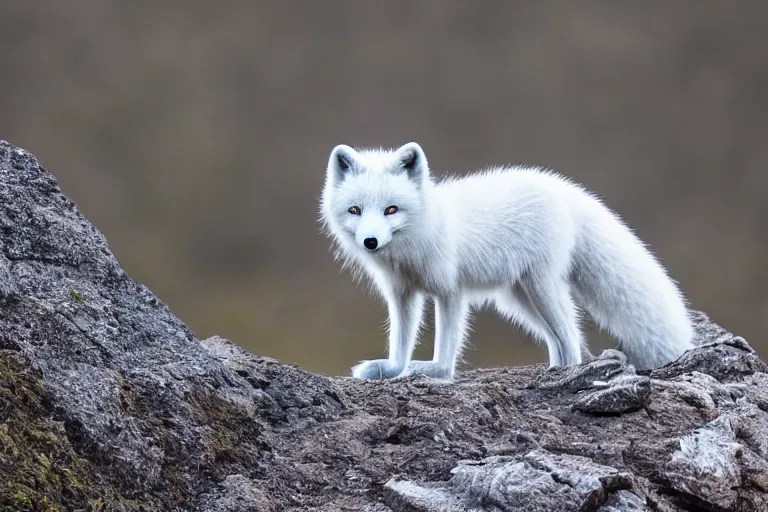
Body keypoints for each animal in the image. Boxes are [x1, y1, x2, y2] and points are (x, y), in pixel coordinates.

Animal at [320, 141, 696, 380]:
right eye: (355, 210)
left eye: (391, 210)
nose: (370, 242)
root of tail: (563, 188)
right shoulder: (402, 294)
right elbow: (400, 342)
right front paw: (391, 370)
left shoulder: (450, 291)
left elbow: (446, 349)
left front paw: (435, 373)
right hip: (518, 299)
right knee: (558, 338)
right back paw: (556, 368)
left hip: (540, 287)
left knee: (571, 336)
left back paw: (569, 373)